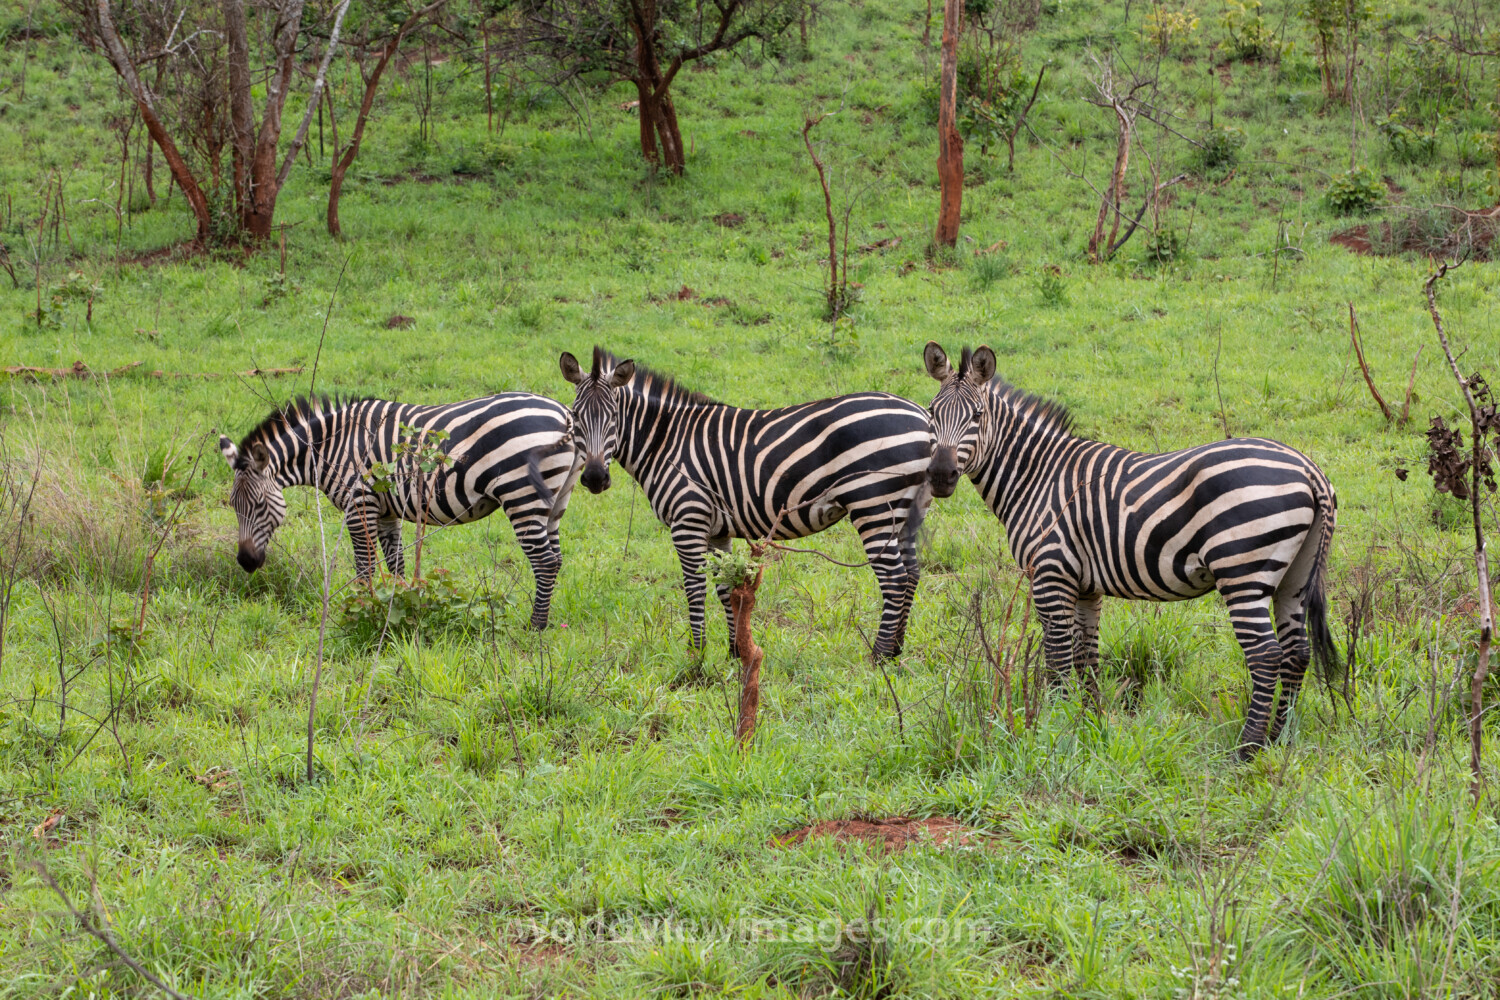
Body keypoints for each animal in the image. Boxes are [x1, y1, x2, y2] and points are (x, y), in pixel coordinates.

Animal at [218, 393, 582, 629]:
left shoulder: (359, 505)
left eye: (259, 505)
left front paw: (361, 610)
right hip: (555, 500)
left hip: (522, 494)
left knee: (544, 561)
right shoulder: (386, 510)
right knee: (556, 559)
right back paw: (546, 620)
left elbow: (365, 568)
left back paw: (535, 626)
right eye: (233, 507)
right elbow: (396, 568)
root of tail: (564, 413)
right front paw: (399, 608)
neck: (330, 448)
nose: (246, 562)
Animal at [560, 346, 936, 660]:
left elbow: (694, 587)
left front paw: (697, 654)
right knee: (912, 573)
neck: (665, 441)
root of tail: (925, 417)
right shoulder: (716, 529)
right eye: (575, 417)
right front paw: (735, 652)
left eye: (613, 417)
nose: (595, 478)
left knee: (894, 577)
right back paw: (897, 650)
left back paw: (879, 656)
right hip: (908, 510)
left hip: (873, 503)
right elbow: (726, 588)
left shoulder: (687, 520)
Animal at [922, 342, 1339, 757]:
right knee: (1297, 652)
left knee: (1266, 655)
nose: (940, 477)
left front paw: (1053, 728)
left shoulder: (1051, 575)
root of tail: (1310, 470)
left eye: (977, 415)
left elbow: (1058, 659)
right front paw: (1089, 723)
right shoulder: (1085, 587)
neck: (1037, 476)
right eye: (931, 412)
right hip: (1295, 576)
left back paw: (1248, 748)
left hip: (1243, 572)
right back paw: (1279, 739)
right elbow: (1086, 656)